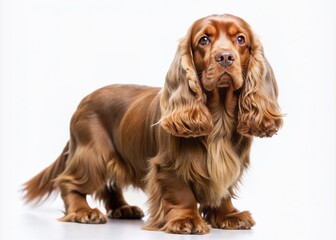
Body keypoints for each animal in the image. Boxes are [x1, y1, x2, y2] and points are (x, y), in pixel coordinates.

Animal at [23, 14, 284, 233]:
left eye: (240, 39)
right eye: (204, 40)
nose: (225, 57)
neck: (218, 115)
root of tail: (82, 103)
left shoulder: (229, 163)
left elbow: (223, 191)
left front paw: (228, 215)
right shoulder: (168, 165)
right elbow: (181, 193)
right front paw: (187, 220)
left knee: (111, 186)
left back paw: (123, 208)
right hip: (93, 155)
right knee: (68, 182)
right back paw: (83, 211)